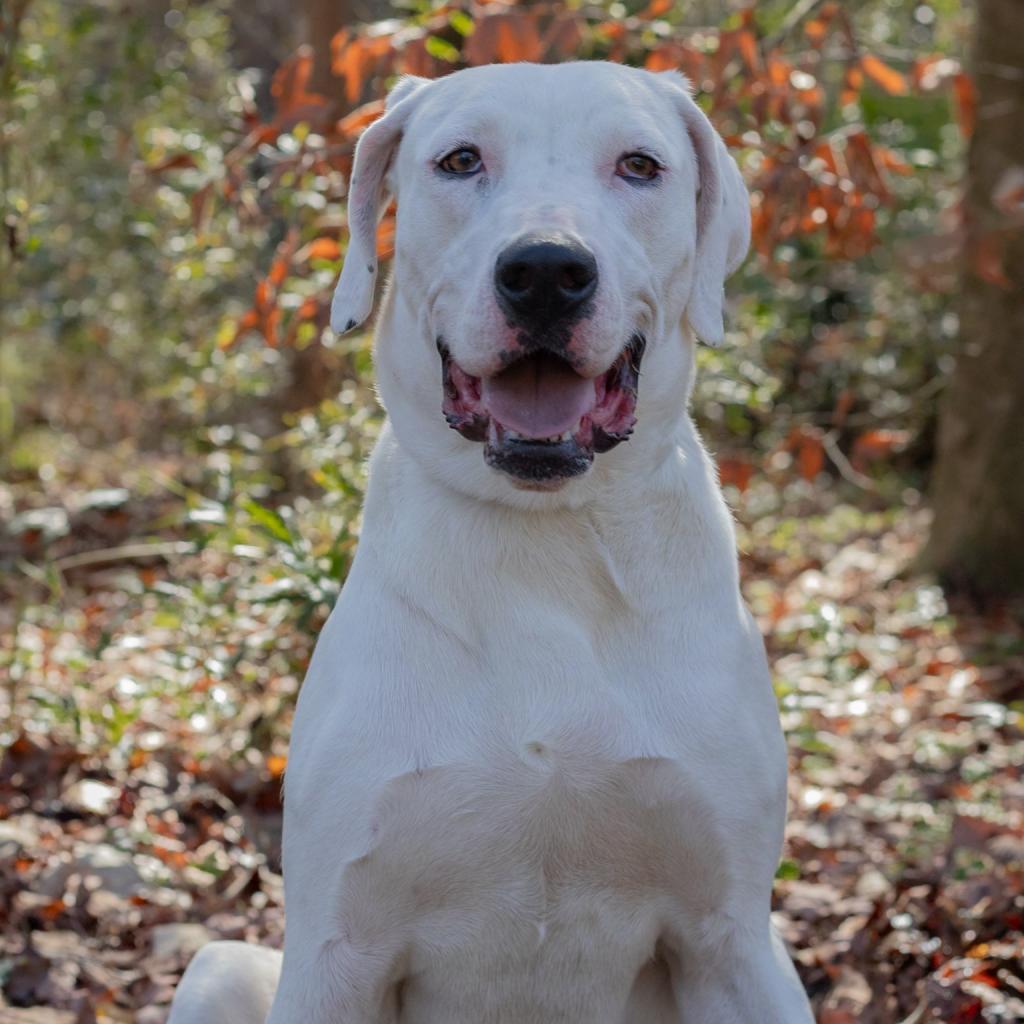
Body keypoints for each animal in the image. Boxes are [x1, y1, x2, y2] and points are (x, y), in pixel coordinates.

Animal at [174, 59, 815, 1019]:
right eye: (460, 160)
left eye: (639, 165)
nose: (547, 271)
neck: (544, 539)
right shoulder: (337, 952)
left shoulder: (732, 941)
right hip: (216, 968)